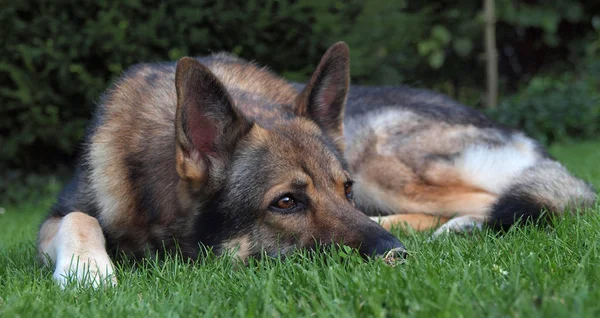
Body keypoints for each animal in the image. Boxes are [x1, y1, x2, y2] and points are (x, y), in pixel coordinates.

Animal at [35, 42, 406, 288]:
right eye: (286, 202)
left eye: (347, 189)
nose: (398, 254)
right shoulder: (54, 219)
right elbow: (78, 218)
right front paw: (88, 271)